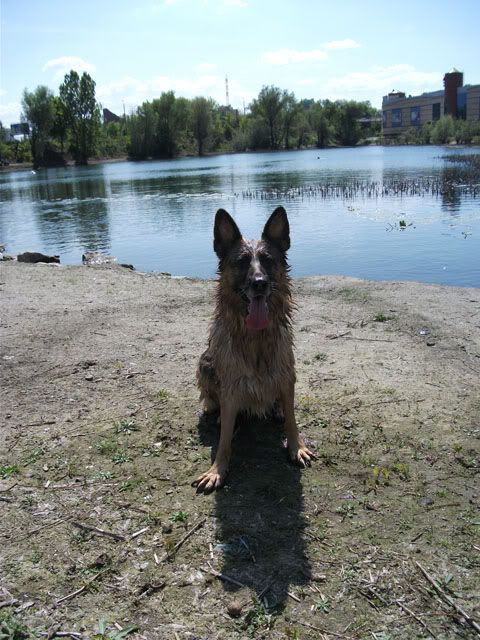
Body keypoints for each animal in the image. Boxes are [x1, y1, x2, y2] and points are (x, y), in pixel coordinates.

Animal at [193, 206, 314, 492]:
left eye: (268, 260)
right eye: (241, 261)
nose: (259, 283)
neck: (256, 338)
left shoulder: (286, 375)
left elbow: (292, 420)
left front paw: (296, 447)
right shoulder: (231, 387)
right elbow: (224, 439)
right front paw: (217, 469)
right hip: (205, 361)